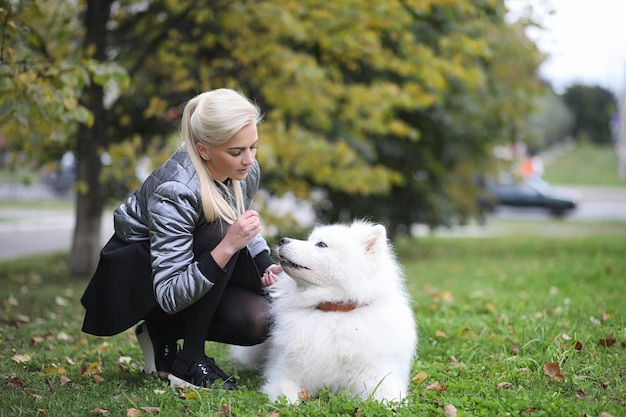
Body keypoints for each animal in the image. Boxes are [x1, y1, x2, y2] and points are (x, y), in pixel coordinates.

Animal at [229, 221, 414, 404]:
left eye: (321, 244)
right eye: (310, 239)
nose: (283, 240)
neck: (332, 310)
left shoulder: (377, 376)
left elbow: (389, 400)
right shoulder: (286, 372)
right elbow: (287, 395)